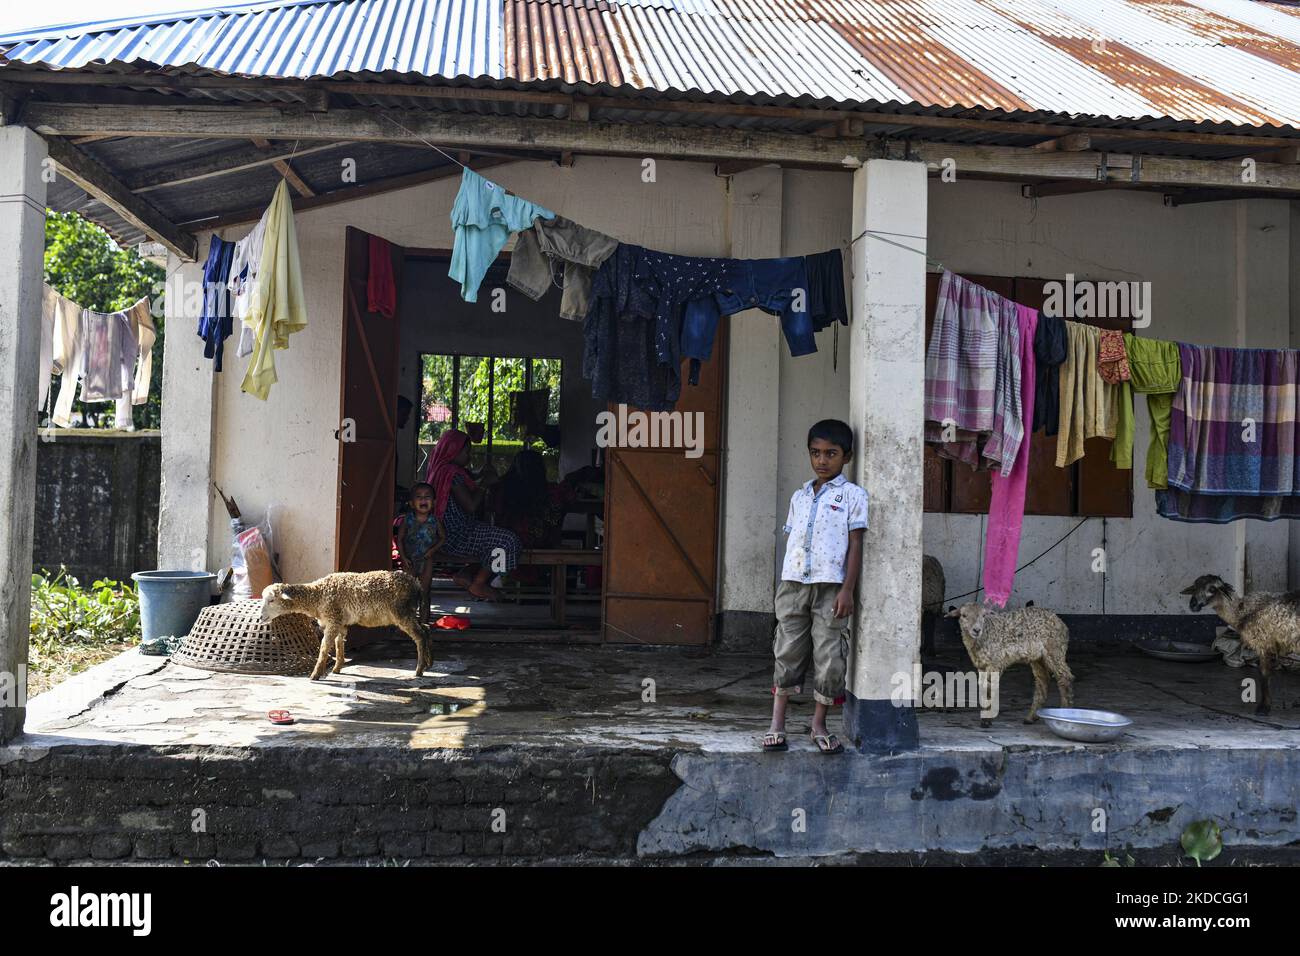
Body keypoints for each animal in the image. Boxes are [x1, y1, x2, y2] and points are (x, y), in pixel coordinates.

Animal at [261, 567, 428, 681]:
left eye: (272, 600)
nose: (261, 616)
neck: (316, 596)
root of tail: (417, 584)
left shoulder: (332, 619)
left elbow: (324, 647)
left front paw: (315, 674)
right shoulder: (339, 621)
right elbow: (339, 643)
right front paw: (337, 667)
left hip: (402, 613)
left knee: (420, 636)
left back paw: (419, 670)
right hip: (409, 612)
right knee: (426, 630)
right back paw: (428, 662)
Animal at [946, 600, 1076, 728]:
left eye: (983, 615)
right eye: (964, 615)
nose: (977, 630)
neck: (985, 635)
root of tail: (1061, 622)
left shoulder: (995, 662)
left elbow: (989, 690)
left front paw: (986, 720)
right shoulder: (982, 665)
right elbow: (983, 689)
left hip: (1054, 649)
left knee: (1064, 677)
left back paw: (1064, 713)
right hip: (1037, 657)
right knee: (1043, 681)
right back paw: (1031, 717)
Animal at [1185, 572, 1294, 712]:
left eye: (1212, 589)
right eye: (1195, 587)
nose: (1192, 605)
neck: (1242, 611)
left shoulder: (1263, 643)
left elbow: (1264, 673)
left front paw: (1264, 708)